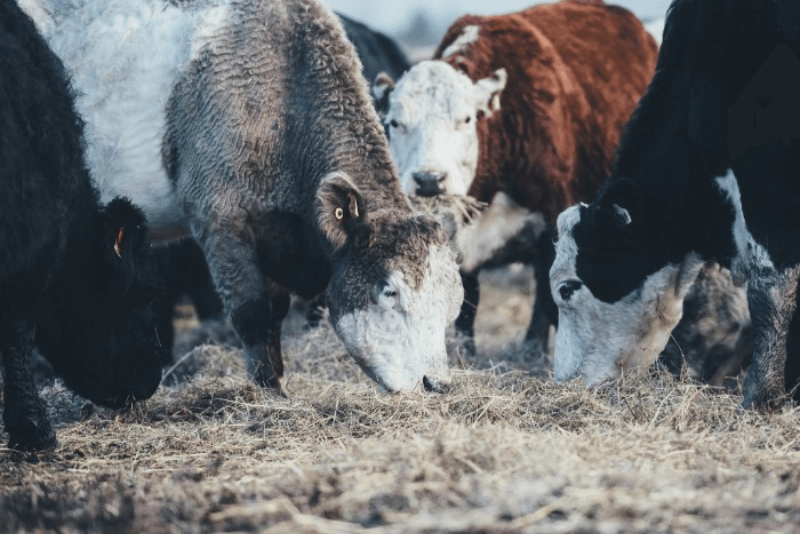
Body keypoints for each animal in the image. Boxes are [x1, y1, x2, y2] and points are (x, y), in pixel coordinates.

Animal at [22, 0, 464, 395]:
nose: (436, 383)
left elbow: (275, 312)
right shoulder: (219, 218)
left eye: (451, 300)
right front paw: (268, 392)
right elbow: (252, 312)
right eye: (390, 290)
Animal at [373, 0, 659, 357]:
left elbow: (551, 298)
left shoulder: (554, 223)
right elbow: (467, 301)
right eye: (395, 123)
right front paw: (465, 351)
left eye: (465, 119)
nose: (429, 179)